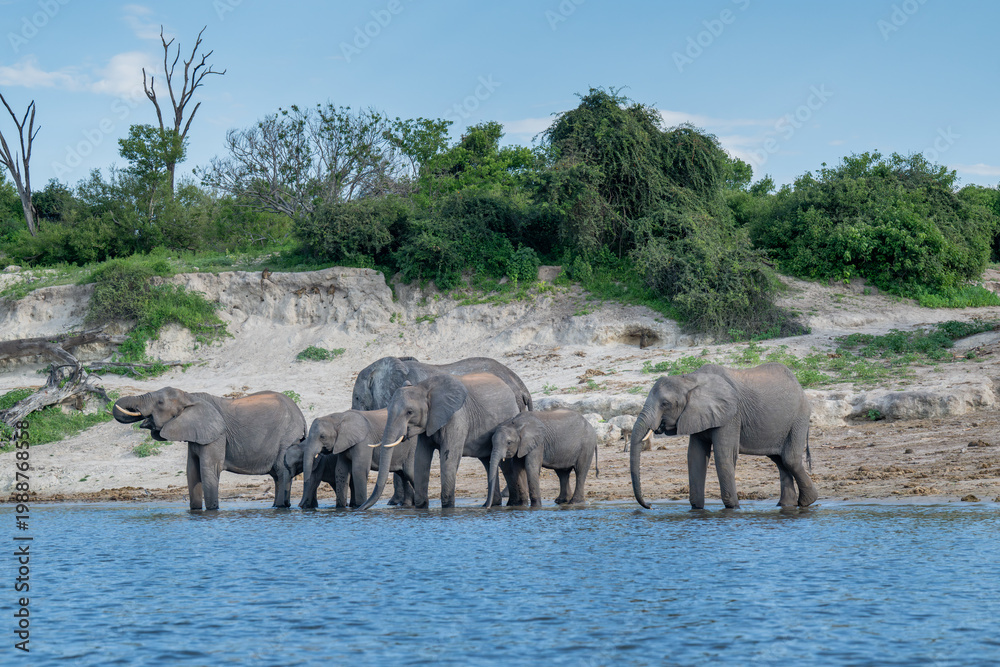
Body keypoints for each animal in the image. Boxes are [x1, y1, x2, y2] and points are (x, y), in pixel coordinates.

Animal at [112, 387, 306, 510]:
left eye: (160, 402)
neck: (191, 396)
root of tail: (302, 416)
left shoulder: (217, 435)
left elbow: (208, 469)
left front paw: (212, 510)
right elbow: (191, 471)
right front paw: (196, 510)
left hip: (288, 436)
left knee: (281, 471)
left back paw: (280, 506)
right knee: (277, 476)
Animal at [630, 363, 817, 510]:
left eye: (665, 404)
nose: (651, 505)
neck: (690, 379)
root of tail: (799, 386)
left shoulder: (731, 415)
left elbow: (723, 456)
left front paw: (734, 508)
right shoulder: (697, 414)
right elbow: (695, 456)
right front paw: (697, 508)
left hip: (799, 418)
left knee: (790, 459)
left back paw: (807, 502)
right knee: (779, 460)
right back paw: (788, 505)